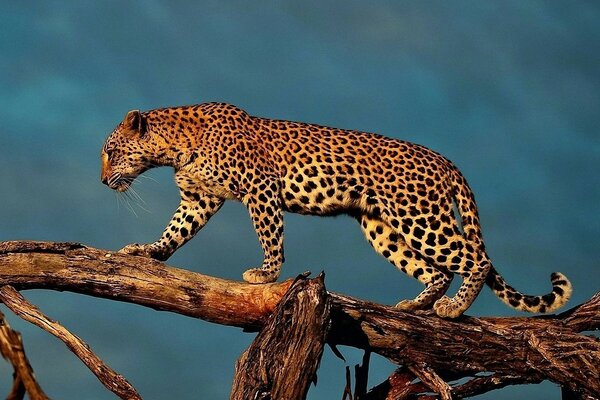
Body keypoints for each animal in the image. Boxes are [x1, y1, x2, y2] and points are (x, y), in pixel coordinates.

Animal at [102, 103, 572, 318]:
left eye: (111, 151)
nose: (104, 181)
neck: (173, 148)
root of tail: (444, 160)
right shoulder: (199, 199)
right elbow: (175, 231)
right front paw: (147, 252)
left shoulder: (261, 189)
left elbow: (270, 234)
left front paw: (265, 275)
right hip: (383, 226)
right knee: (437, 270)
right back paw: (415, 305)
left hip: (419, 217)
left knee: (475, 257)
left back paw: (453, 308)